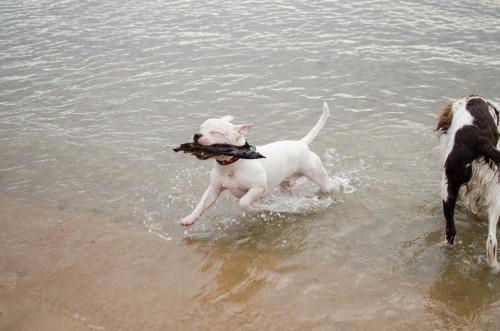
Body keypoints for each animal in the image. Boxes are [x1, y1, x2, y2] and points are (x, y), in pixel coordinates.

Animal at [180, 104, 332, 227]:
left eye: (216, 132)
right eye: (201, 128)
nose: (197, 135)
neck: (231, 163)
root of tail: (301, 143)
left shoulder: (258, 188)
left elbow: (243, 201)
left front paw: (252, 207)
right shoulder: (213, 190)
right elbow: (201, 205)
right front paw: (190, 218)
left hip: (318, 176)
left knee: (326, 184)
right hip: (285, 185)